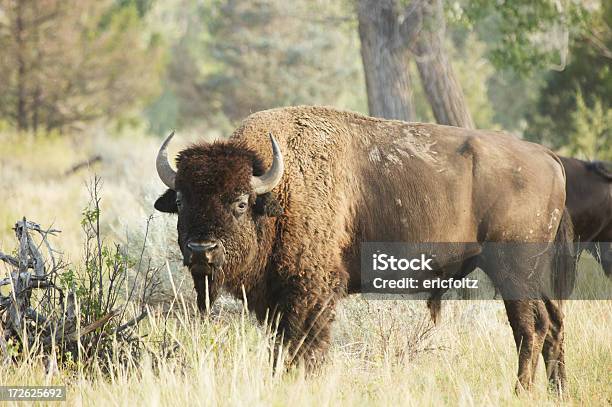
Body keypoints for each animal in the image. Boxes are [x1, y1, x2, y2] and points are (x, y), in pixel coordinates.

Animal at [153, 107, 572, 394]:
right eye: (181, 200)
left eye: (240, 203)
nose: (202, 249)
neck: (278, 191)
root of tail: (547, 156)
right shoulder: (276, 296)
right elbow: (281, 344)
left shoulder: (311, 290)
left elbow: (305, 344)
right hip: (534, 274)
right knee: (553, 323)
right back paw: (558, 391)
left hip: (513, 271)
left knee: (529, 327)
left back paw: (520, 392)